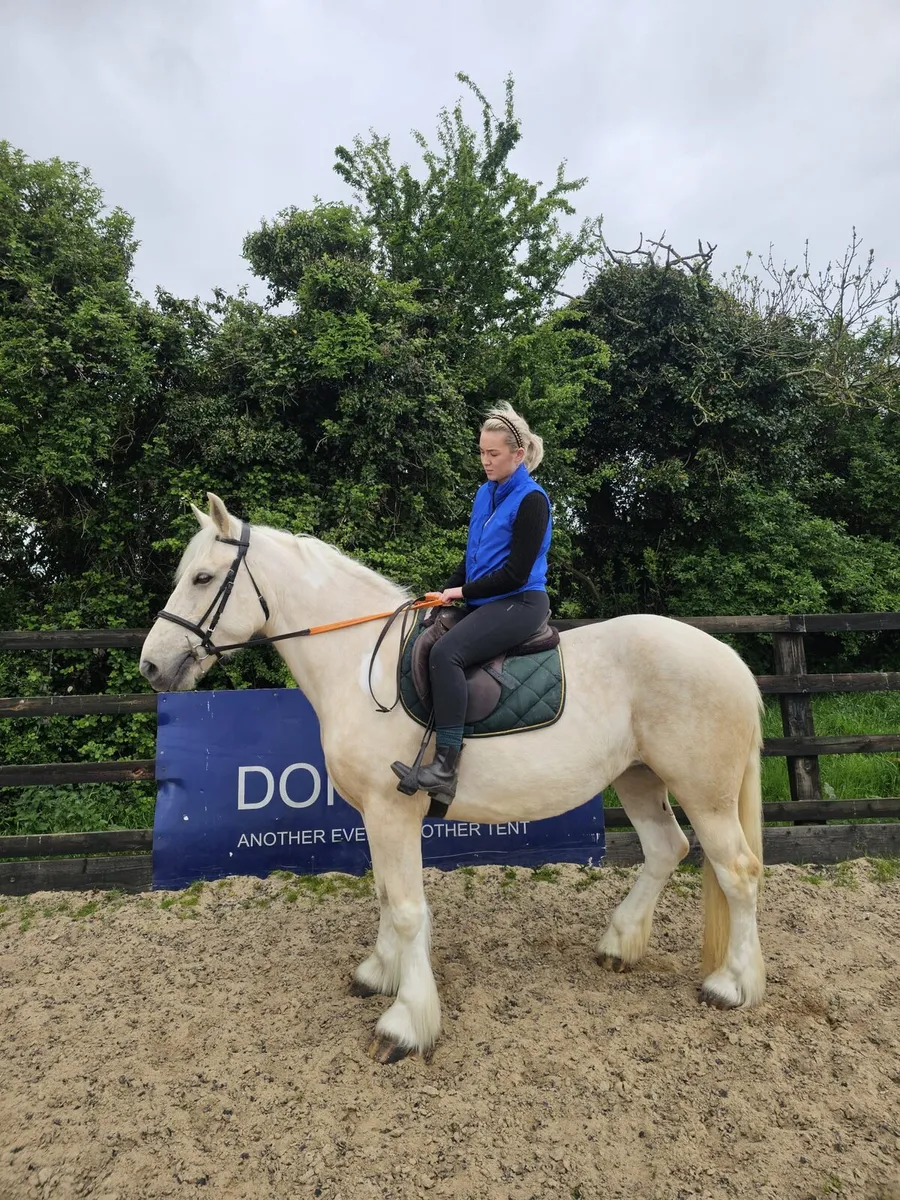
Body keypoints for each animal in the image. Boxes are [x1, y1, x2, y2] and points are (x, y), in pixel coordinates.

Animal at [139, 493, 766, 1064]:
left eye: (202, 577)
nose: (151, 665)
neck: (359, 663)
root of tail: (727, 657)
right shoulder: (375, 816)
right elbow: (386, 894)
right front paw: (379, 973)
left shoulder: (392, 811)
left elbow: (407, 908)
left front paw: (405, 1024)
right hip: (638, 778)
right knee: (666, 848)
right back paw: (619, 945)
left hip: (704, 793)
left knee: (737, 871)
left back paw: (732, 984)